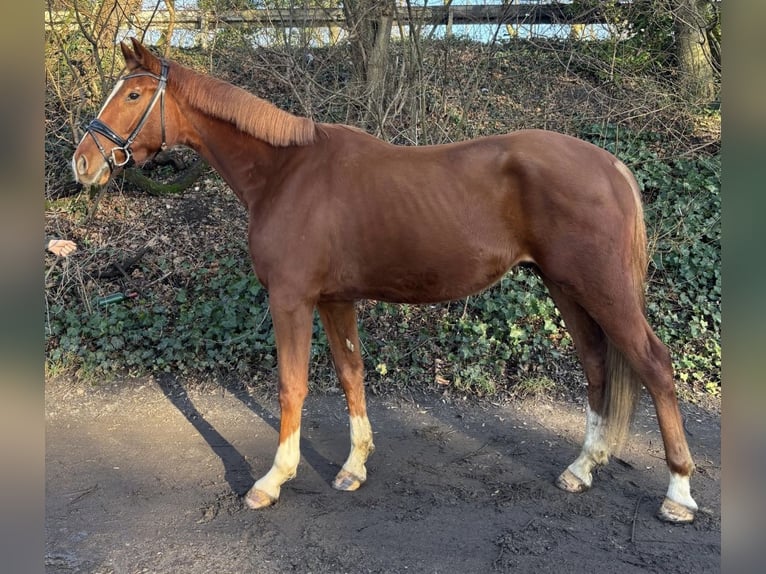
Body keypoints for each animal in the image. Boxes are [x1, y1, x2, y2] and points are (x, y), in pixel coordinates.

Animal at [72, 39, 704, 528]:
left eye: (133, 95)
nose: (84, 163)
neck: (286, 175)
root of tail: (610, 165)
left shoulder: (291, 301)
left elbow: (292, 386)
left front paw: (273, 479)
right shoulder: (335, 300)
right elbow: (351, 374)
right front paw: (354, 467)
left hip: (602, 289)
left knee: (654, 364)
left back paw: (678, 493)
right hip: (565, 287)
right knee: (597, 363)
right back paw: (581, 469)